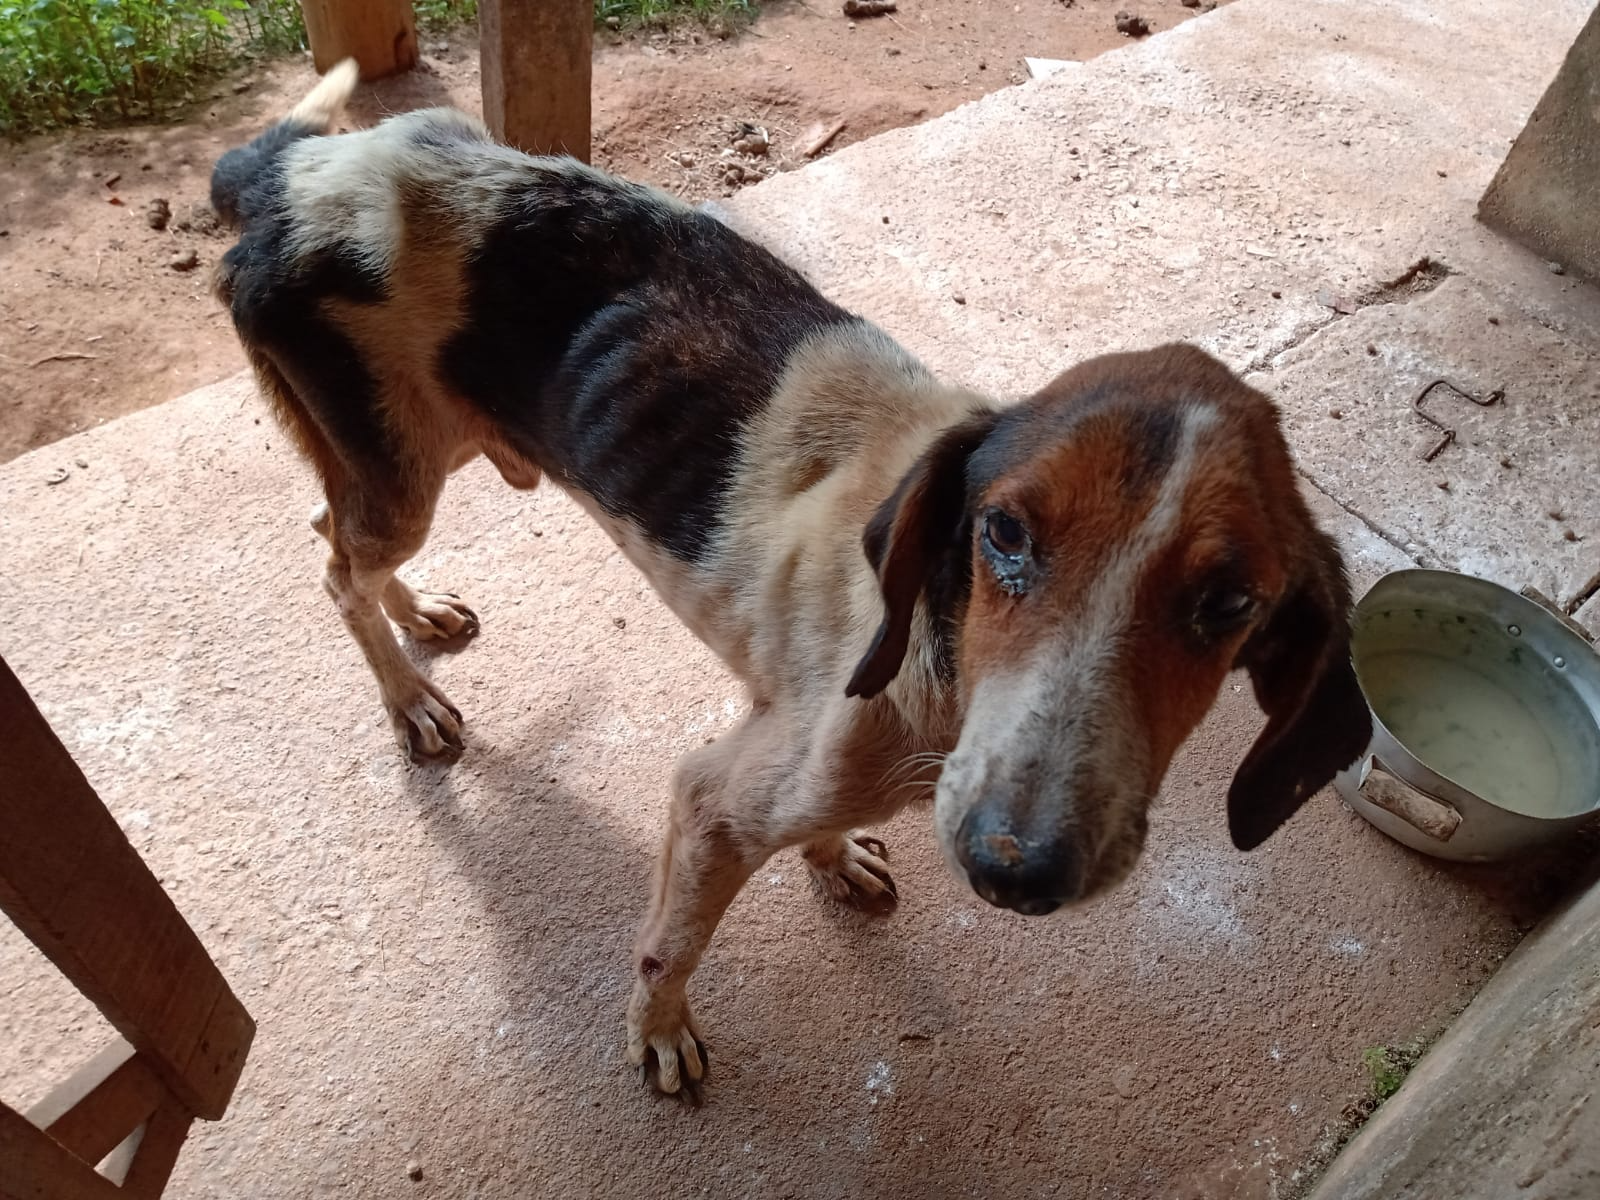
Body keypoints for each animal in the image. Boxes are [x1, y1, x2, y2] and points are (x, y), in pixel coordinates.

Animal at [206, 63, 1369, 1100]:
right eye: (1002, 534)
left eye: (1229, 606)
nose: (1017, 872)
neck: (936, 661)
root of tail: (287, 167)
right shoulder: (712, 801)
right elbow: (668, 948)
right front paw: (659, 1035)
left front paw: (830, 858)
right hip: (403, 471)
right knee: (336, 572)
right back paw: (409, 698)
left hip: (403, 461)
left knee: (335, 537)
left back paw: (420, 617)